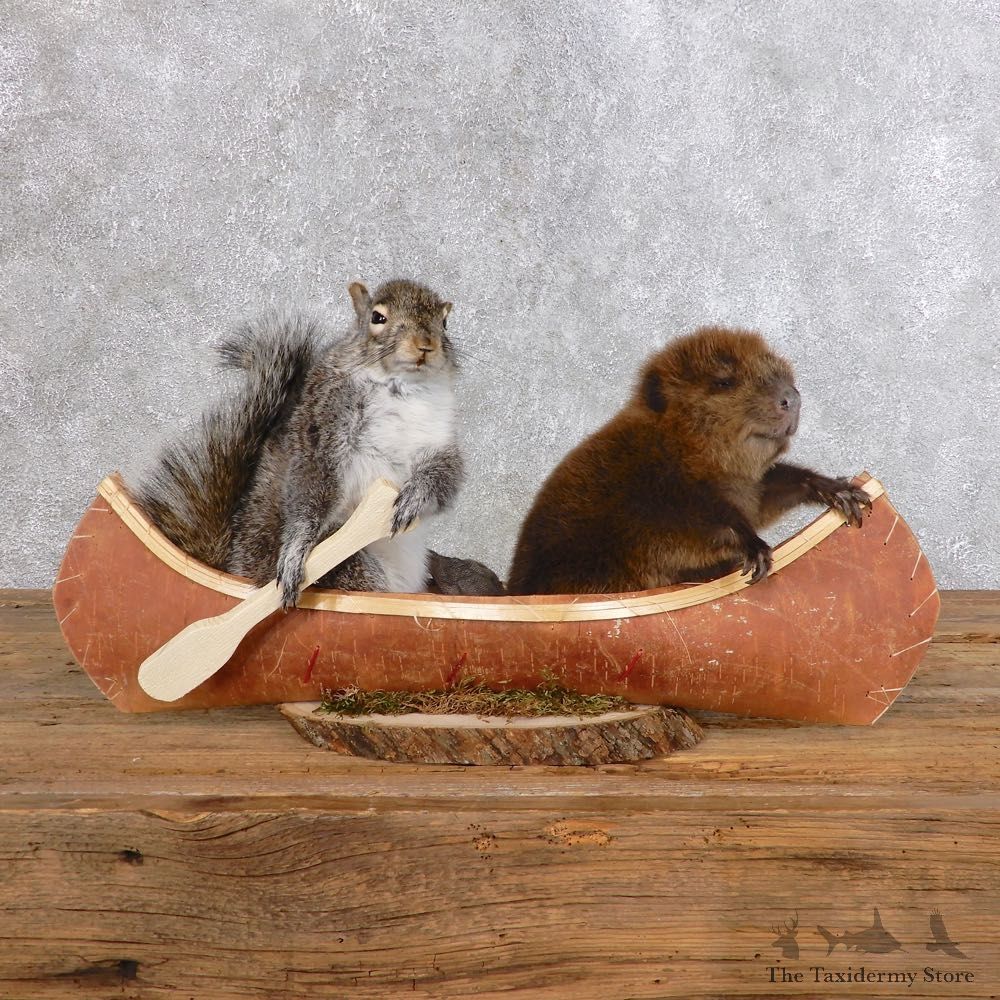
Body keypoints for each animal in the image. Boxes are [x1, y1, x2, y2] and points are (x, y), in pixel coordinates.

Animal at [135, 278, 467, 606]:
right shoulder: (324, 425)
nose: (425, 345)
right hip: (349, 565)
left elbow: (447, 474)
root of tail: (236, 568)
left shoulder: (438, 437)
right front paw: (296, 550)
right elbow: (312, 485)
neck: (402, 389)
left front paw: (417, 495)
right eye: (378, 317)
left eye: (444, 322)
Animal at [506, 326, 872, 595]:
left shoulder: (745, 485)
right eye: (724, 381)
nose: (790, 397)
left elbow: (766, 495)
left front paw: (842, 492)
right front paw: (754, 550)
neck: (671, 451)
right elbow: (696, 532)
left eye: (782, 372)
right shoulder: (650, 504)